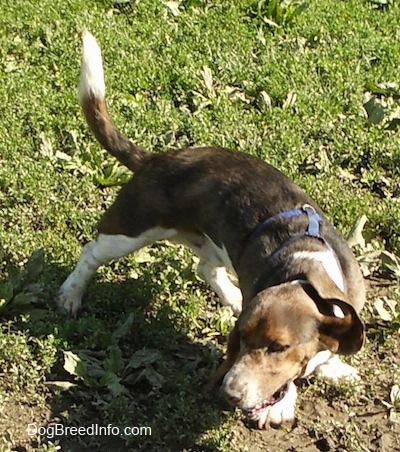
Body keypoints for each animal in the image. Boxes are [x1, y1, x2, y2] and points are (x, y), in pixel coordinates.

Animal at [56, 30, 366, 428]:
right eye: (241, 339)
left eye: (279, 347)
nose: (230, 393)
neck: (308, 271)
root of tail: (157, 158)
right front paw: (283, 401)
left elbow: (327, 353)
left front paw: (333, 367)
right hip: (131, 231)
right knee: (91, 253)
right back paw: (70, 295)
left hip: (211, 243)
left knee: (204, 267)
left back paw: (232, 296)